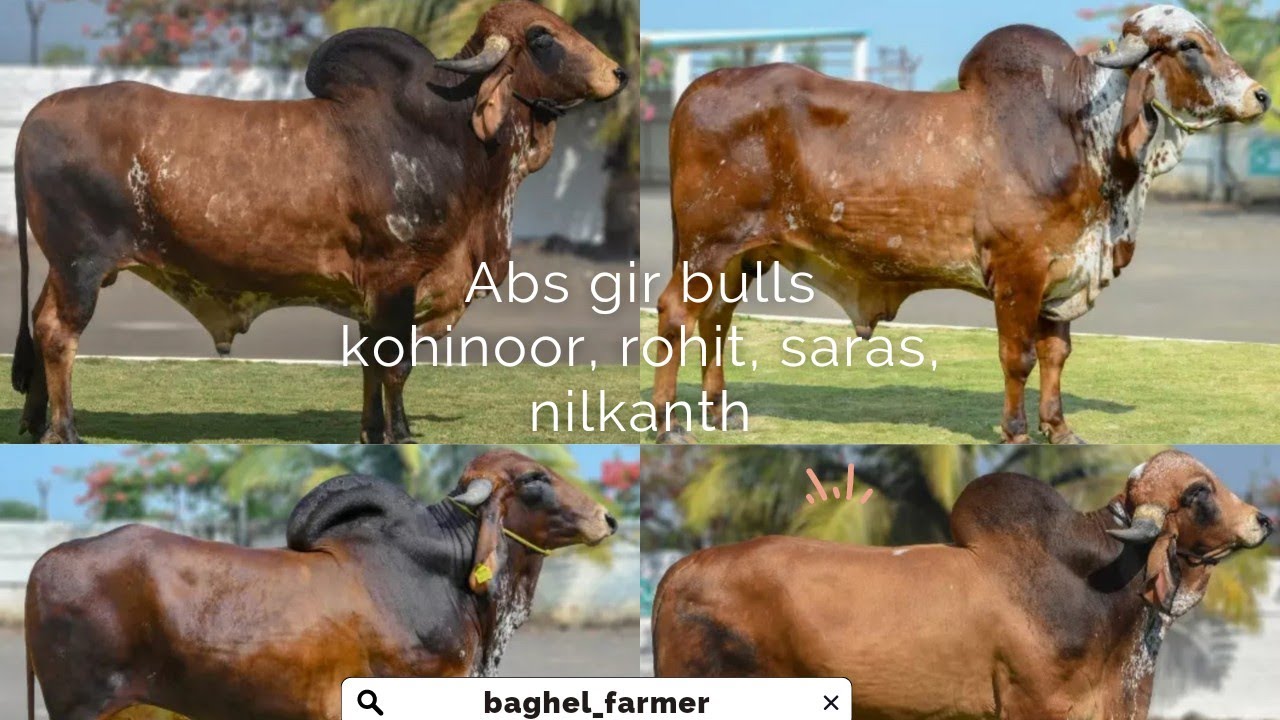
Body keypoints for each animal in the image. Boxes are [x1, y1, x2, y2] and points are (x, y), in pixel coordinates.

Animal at [10, 0, 628, 444]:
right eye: (543, 37)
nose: (619, 72)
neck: (450, 133)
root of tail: (37, 113)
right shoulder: (397, 277)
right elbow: (395, 365)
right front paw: (400, 434)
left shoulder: (374, 294)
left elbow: (371, 364)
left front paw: (373, 430)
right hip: (81, 266)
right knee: (58, 334)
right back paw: (64, 431)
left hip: (62, 268)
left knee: (39, 324)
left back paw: (34, 422)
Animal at [651, 5, 1269, 445]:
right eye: (1190, 47)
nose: (1260, 95)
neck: (1078, 133)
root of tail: (699, 87)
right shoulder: (1019, 274)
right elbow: (1018, 357)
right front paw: (1016, 431)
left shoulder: (1062, 275)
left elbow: (1056, 355)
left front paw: (1059, 429)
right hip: (706, 247)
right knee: (678, 314)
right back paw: (667, 423)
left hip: (742, 256)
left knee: (717, 321)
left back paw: (718, 413)